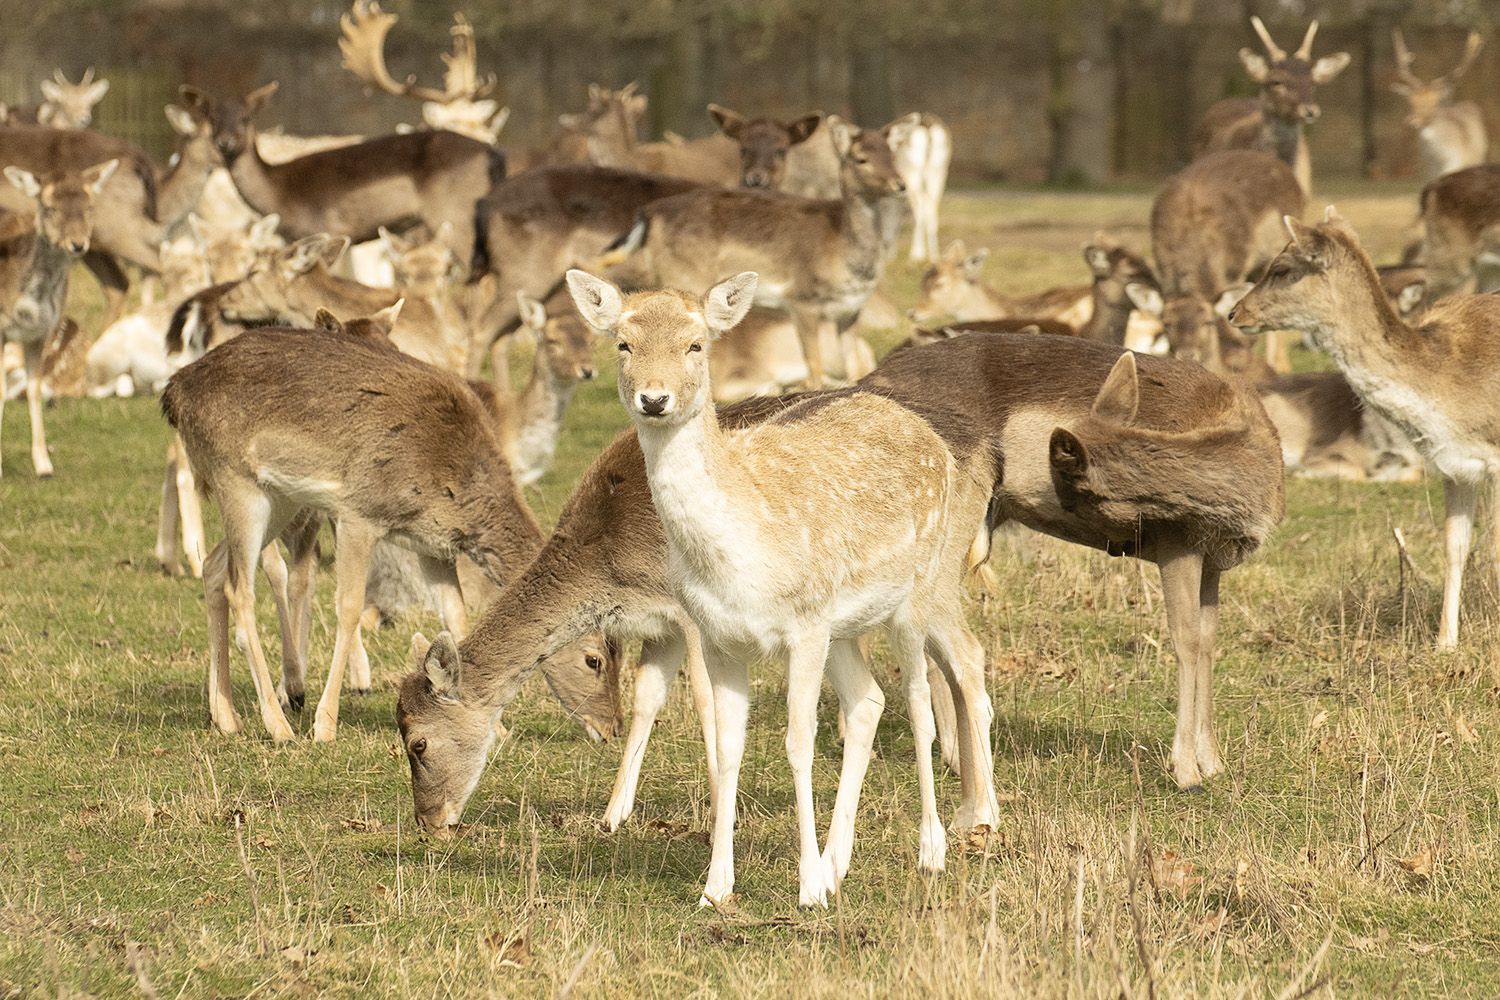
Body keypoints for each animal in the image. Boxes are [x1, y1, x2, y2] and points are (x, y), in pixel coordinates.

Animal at [0, 159, 118, 478]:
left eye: (90, 207)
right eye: (49, 207)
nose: (78, 244)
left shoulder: (39, 334)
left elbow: (34, 390)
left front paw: (44, 466)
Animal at [161, 326, 552, 742]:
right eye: (586, 652)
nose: (593, 725)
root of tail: (174, 391)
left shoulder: (434, 548)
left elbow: (455, 614)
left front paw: (498, 728)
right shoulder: (358, 516)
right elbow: (349, 607)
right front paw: (324, 725)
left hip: (279, 500)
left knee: (215, 566)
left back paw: (227, 717)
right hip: (239, 485)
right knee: (241, 589)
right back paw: (279, 725)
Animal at [180, 83, 503, 271]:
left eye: (246, 117)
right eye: (211, 117)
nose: (225, 142)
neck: (280, 190)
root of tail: (495, 155)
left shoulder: (330, 230)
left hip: (457, 218)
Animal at [596, 117, 910, 388]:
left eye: (893, 156)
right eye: (861, 158)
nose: (900, 184)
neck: (843, 253)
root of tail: (649, 213)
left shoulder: (850, 310)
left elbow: (853, 369)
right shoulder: (801, 300)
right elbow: (814, 369)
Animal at [885, 113, 952, 262]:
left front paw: (890, 255)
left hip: (912, 174)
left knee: (920, 209)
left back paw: (917, 254)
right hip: (938, 173)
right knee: (932, 207)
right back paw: (934, 255)